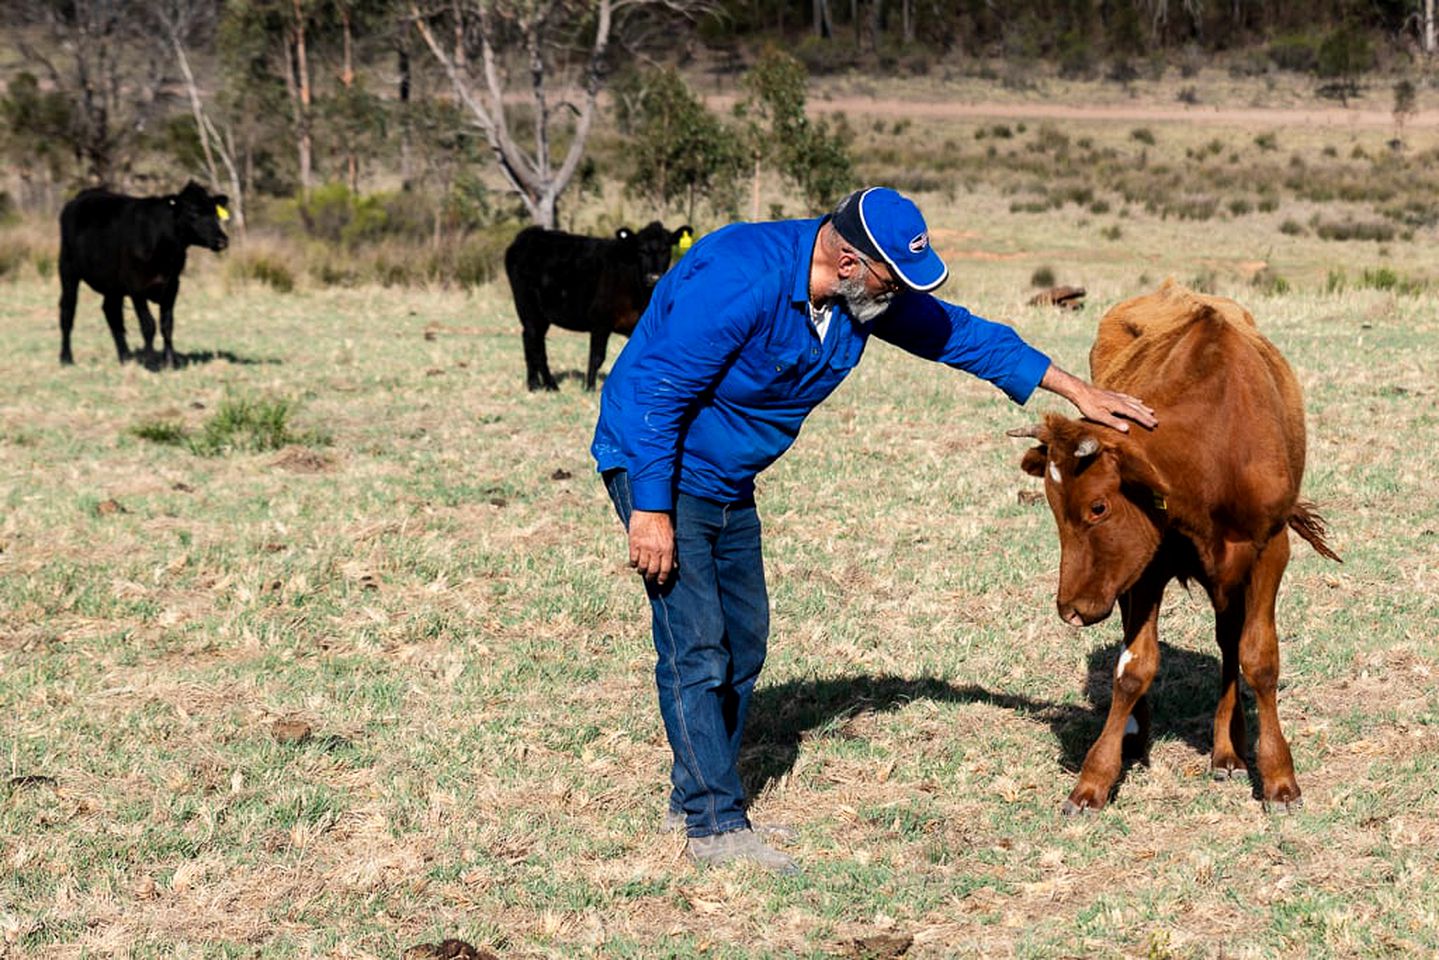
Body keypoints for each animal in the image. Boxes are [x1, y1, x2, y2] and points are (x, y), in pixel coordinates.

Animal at [59, 182, 230, 371]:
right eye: (193, 213)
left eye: (215, 214)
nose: (222, 241)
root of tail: (82, 196)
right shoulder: (137, 286)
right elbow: (148, 325)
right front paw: (151, 362)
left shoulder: (172, 285)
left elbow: (167, 325)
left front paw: (170, 361)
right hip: (67, 269)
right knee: (67, 311)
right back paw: (66, 358)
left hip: (113, 284)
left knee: (112, 312)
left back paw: (125, 357)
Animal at [503, 220, 687, 391]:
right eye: (641, 250)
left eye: (666, 249)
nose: (654, 277)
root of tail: (529, 234)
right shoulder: (600, 321)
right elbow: (597, 357)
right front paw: (590, 387)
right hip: (529, 309)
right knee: (536, 345)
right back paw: (550, 385)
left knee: (528, 340)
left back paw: (533, 384)